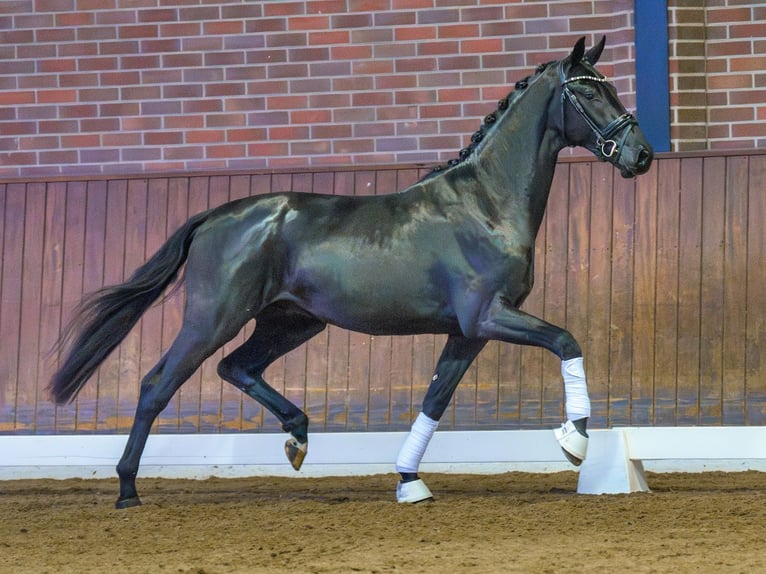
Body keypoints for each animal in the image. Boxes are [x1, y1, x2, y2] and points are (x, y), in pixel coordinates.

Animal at [51, 37, 656, 508]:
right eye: (589, 91)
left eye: (611, 88)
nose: (641, 155)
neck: (486, 203)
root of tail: (214, 217)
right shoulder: (488, 316)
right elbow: (566, 340)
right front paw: (575, 440)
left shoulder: (466, 332)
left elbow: (435, 400)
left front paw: (409, 481)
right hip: (212, 319)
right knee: (158, 385)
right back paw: (127, 489)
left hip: (291, 322)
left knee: (236, 367)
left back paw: (297, 438)